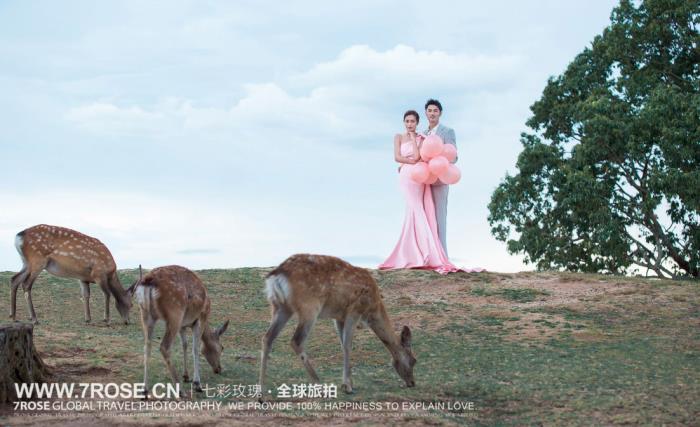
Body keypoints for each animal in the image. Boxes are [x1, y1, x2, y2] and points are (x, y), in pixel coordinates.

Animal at [129, 265, 229, 396]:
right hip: (175, 312)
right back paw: (180, 390)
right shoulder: (200, 318)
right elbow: (195, 348)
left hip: (145, 314)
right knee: (164, 346)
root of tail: (148, 281)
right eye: (222, 347)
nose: (219, 369)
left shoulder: (183, 325)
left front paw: (186, 376)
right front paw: (197, 383)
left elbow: (184, 345)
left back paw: (144, 390)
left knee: (147, 346)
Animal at [259, 254, 416, 394]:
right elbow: (347, 345)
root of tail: (276, 276)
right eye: (413, 360)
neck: (373, 309)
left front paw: (348, 383)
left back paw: (261, 393)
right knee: (296, 341)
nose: (412, 383)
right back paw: (319, 385)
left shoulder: (339, 317)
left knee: (267, 338)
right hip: (309, 307)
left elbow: (342, 344)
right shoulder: (354, 310)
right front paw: (347, 386)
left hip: (279, 306)